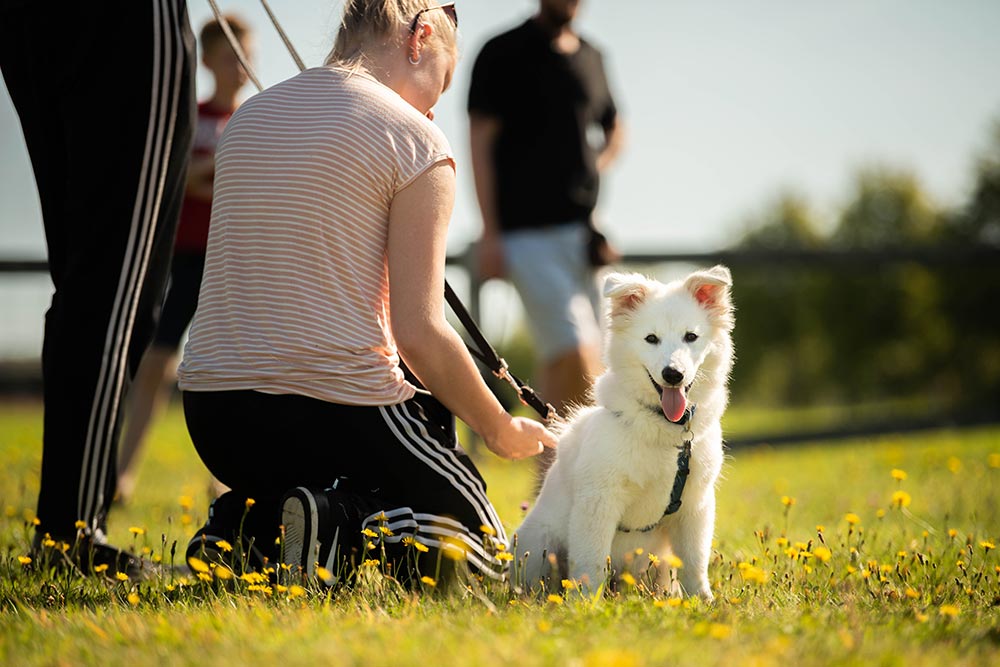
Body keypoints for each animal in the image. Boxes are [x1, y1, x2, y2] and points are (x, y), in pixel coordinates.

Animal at [516, 264, 736, 600]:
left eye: (691, 336)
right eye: (651, 339)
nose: (673, 374)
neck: (663, 429)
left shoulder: (696, 505)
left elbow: (695, 561)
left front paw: (703, 600)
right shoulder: (598, 502)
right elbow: (590, 561)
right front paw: (584, 602)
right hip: (538, 545)